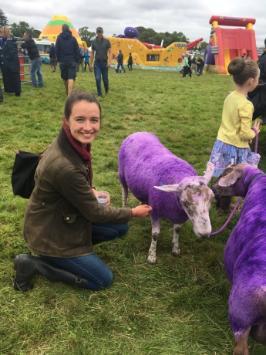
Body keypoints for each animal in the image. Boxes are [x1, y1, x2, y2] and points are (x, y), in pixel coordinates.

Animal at [118, 134, 214, 264]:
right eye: (185, 202)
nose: (205, 234)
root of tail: (138, 132)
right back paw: (124, 206)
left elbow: (177, 230)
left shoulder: (178, 216)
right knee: (125, 192)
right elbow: (155, 234)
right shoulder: (155, 210)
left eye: (211, 199)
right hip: (122, 175)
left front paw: (175, 249)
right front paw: (152, 255)